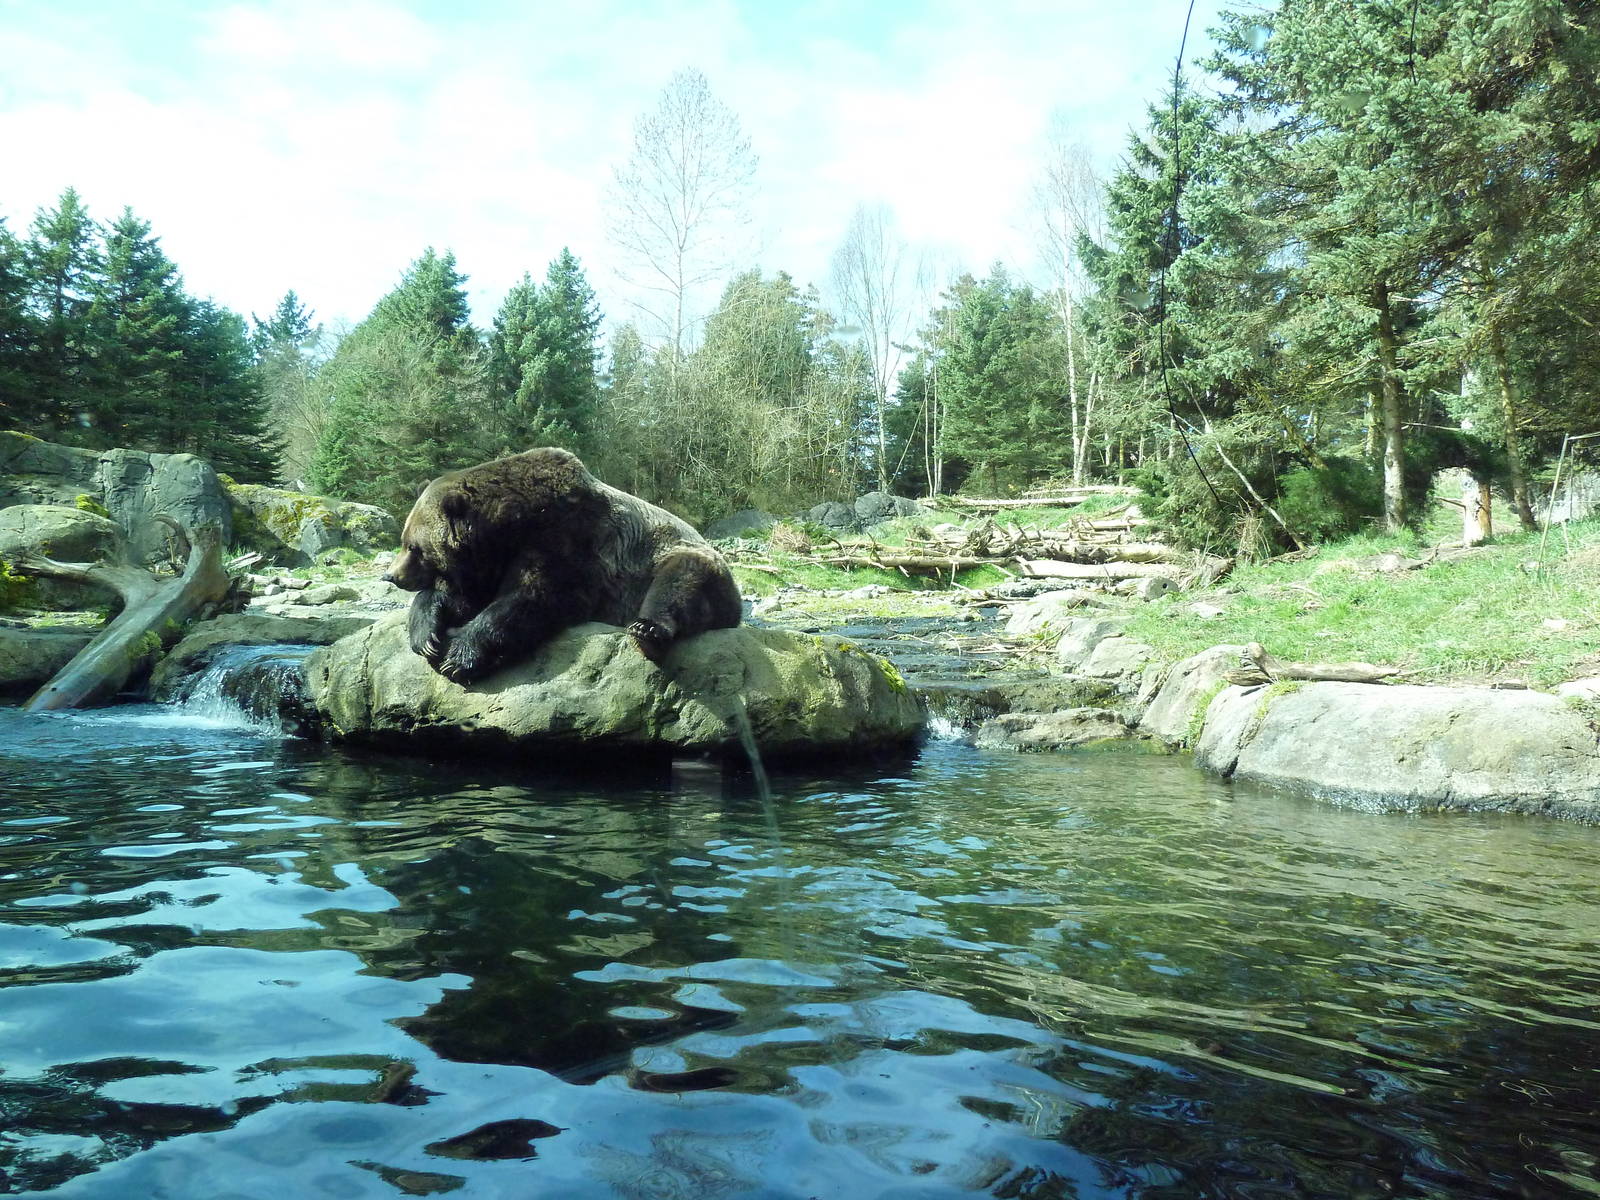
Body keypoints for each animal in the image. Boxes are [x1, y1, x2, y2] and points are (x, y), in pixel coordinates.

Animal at [382, 447, 743, 685]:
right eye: (405, 540)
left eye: (413, 547)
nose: (393, 575)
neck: (510, 525)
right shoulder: (490, 562)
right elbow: (459, 597)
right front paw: (426, 636)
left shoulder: (568, 537)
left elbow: (536, 597)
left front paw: (459, 657)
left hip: (681, 557)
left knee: (678, 582)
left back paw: (647, 632)